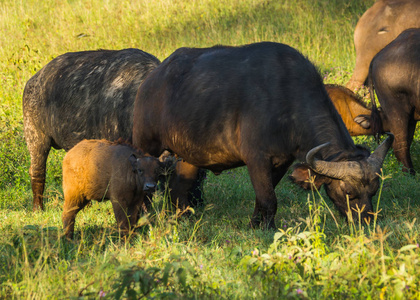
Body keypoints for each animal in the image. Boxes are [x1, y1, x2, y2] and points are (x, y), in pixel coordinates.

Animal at [132, 42, 394, 229]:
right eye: (348, 192)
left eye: (374, 190)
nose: (367, 220)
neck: (287, 100)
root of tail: (151, 80)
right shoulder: (256, 158)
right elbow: (269, 199)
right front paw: (266, 228)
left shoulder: (282, 161)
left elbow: (264, 197)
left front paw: (255, 224)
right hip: (146, 145)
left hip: (189, 157)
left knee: (179, 188)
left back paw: (184, 219)